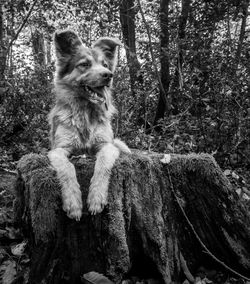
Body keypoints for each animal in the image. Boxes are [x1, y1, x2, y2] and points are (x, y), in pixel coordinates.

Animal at [47, 30, 131, 221]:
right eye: (84, 64)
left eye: (105, 64)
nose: (108, 75)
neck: (85, 112)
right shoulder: (58, 150)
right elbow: (67, 168)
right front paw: (73, 204)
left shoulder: (106, 145)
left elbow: (103, 163)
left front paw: (96, 198)